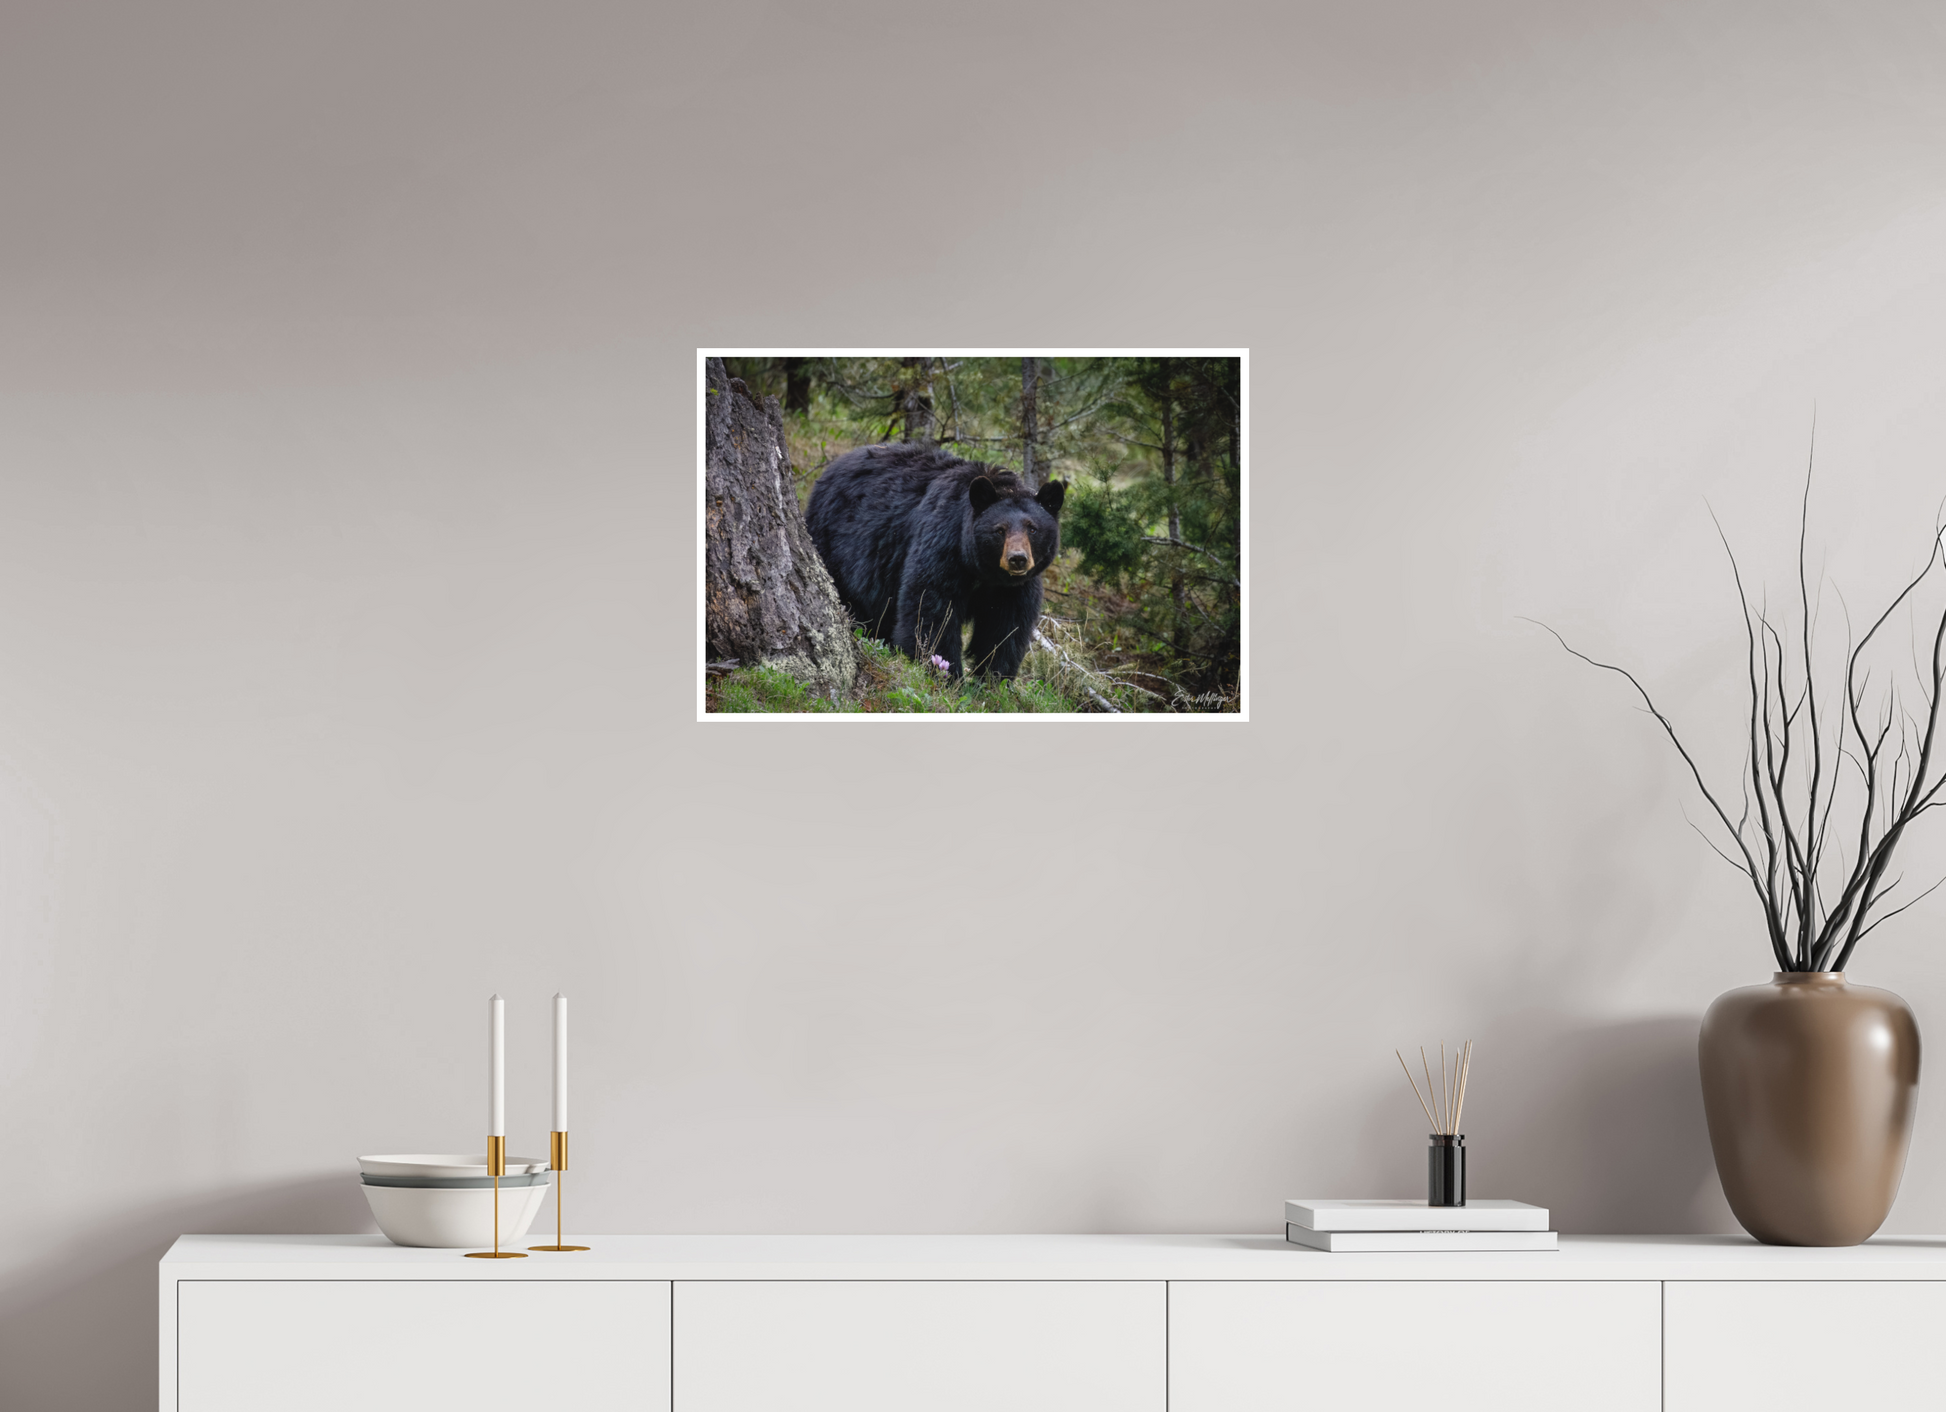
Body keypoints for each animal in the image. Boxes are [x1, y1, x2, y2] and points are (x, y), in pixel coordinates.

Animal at [805, 443, 1066, 680]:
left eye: (1032, 528)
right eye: (999, 530)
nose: (1017, 559)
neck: (984, 572)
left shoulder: (1014, 588)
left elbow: (1005, 627)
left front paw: (994, 679)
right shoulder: (943, 545)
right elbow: (931, 608)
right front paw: (946, 673)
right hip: (833, 541)